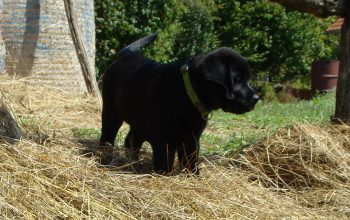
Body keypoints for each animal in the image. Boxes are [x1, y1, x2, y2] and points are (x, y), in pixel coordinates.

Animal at [100, 33, 258, 174]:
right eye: (237, 79)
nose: (256, 98)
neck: (188, 95)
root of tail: (124, 55)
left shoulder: (192, 138)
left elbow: (191, 160)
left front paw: (192, 176)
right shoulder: (163, 139)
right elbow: (164, 162)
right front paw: (165, 174)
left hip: (139, 121)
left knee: (131, 141)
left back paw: (133, 164)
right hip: (111, 111)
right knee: (108, 137)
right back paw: (105, 160)